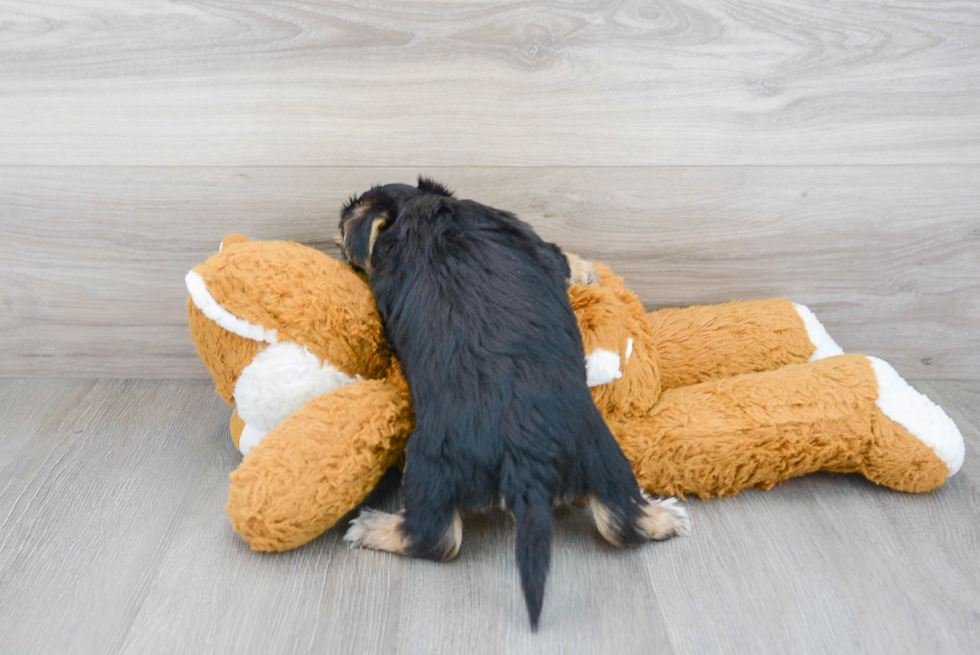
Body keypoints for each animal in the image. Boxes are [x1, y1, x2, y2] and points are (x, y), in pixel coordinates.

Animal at [340, 179, 684, 632]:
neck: (421, 209)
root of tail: (526, 459)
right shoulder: (535, 244)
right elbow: (562, 257)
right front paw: (587, 270)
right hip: (592, 454)